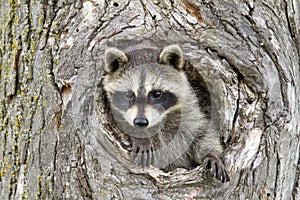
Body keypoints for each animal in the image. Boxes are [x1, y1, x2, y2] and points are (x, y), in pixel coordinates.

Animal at [103, 44, 230, 182]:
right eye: (128, 94)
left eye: (157, 94)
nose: (140, 122)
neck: (160, 119)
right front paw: (140, 137)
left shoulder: (190, 110)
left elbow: (203, 133)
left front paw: (212, 154)